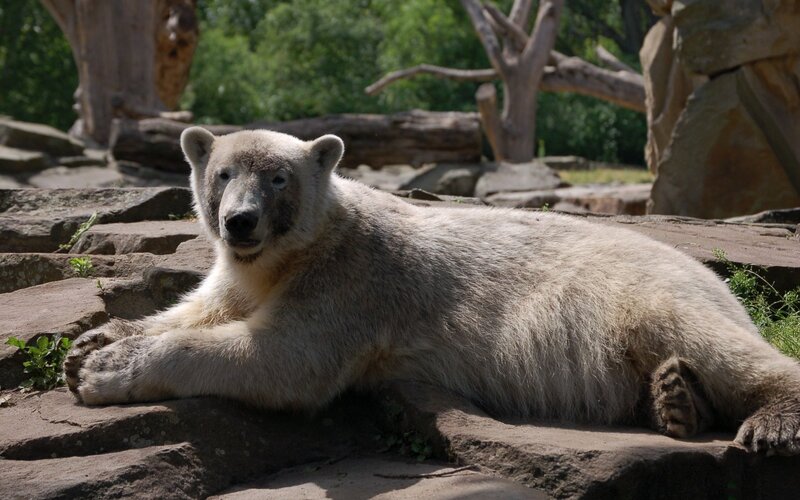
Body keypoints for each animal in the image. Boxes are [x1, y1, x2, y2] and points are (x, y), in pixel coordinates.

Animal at [64, 126, 800, 455]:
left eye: (277, 178)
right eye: (222, 174)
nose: (240, 221)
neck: (290, 254)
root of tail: (710, 273)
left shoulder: (352, 283)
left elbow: (281, 357)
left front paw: (102, 371)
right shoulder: (243, 273)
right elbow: (201, 307)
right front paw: (94, 340)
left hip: (643, 292)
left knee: (711, 342)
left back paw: (766, 423)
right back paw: (675, 400)